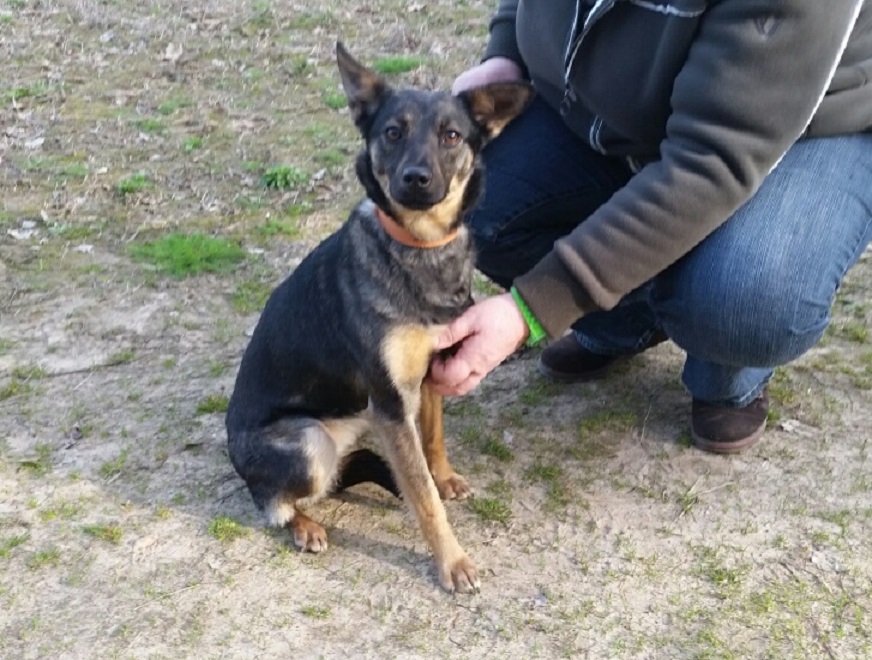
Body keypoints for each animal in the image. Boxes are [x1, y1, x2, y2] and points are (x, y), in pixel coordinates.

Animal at [225, 42, 533, 593]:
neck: (421, 247)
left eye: (452, 135)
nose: (416, 179)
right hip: (309, 443)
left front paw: (444, 476)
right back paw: (303, 525)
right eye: (392, 132)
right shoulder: (390, 403)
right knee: (272, 500)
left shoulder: (431, 370)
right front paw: (452, 562)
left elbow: (432, 438)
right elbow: (424, 499)